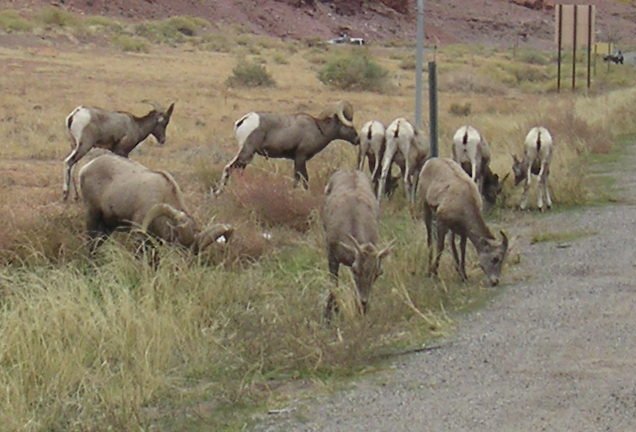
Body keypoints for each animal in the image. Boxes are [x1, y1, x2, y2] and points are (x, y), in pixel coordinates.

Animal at [79, 153, 234, 253]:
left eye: (194, 253)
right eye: (178, 247)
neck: (163, 194)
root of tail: (86, 168)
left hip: (108, 226)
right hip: (93, 215)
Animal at [216, 99, 360, 194]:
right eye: (349, 124)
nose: (357, 139)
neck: (318, 130)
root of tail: (244, 120)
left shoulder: (297, 160)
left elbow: (296, 179)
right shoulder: (301, 157)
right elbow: (304, 179)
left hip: (247, 156)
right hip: (246, 153)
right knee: (229, 168)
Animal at [322, 170, 392, 318]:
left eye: (378, 273)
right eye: (356, 270)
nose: (364, 303)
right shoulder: (331, 253)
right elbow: (333, 283)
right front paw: (330, 313)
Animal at [414, 157, 510, 286]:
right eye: (495, 259)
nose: (495, 281)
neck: (465, 202)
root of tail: (430, 161)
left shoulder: (463, 231)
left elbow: (462, 248)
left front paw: (464, 276)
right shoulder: (441, 223)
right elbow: (440, 247)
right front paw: (434, 273)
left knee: (452, 243)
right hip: (426, 208)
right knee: (430, 239)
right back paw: (429, 270)